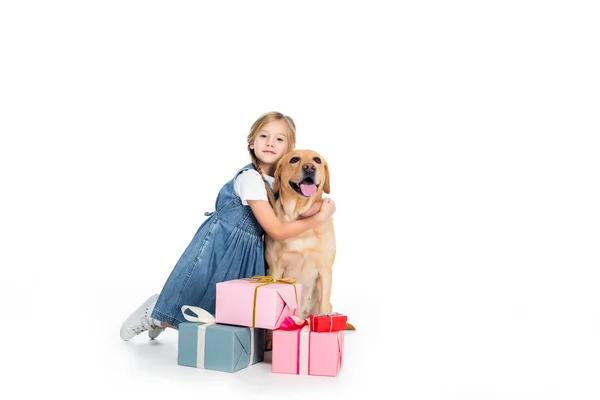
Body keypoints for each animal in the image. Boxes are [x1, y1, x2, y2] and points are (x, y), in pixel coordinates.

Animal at [264, 148, 354, 330]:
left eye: (317, 160)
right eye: (294, 159)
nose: (309, 167)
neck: (299, 216)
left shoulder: (325, 270)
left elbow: (324, 305)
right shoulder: (275, 268)